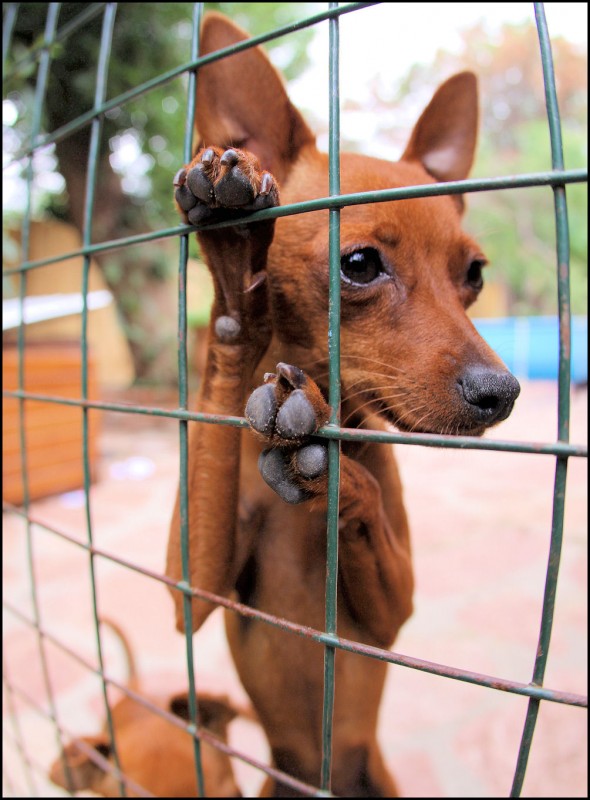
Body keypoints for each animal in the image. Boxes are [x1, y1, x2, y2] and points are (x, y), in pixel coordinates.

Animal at [164, 10, 520, 792]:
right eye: (359, 265)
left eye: (474, 274)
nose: (502, 393)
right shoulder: (189, 591)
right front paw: (234, 262)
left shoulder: (392, 616)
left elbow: (369, 509)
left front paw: (332, 471)